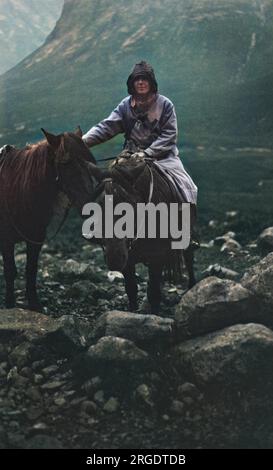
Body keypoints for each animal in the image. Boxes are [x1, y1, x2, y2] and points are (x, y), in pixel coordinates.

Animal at [0, 129, 101, 312]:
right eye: (66, 163)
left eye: (91, 162)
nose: (91, 205)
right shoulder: (6, 239)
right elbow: (10, 270)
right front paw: (10, 304)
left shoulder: (36, 238)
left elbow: (31, 269)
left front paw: (34, 304)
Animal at [90, 154, 196, 314]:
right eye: (97, 205)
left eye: (131, 204)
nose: (114, 258)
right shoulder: (127, 260)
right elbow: (131, 289)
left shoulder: (157, 257)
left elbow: (154, 292)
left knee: (189, 257)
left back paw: (191, 288)